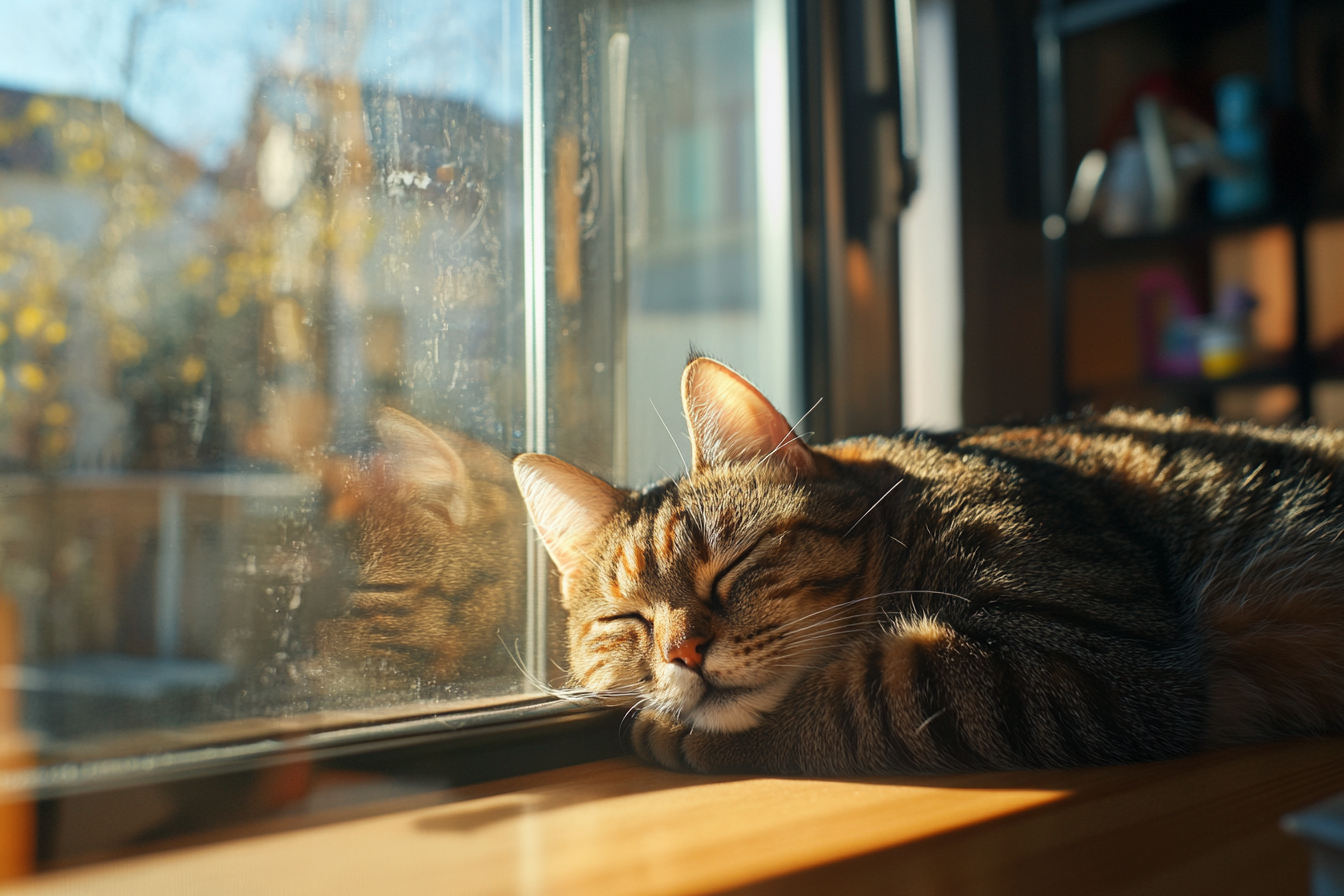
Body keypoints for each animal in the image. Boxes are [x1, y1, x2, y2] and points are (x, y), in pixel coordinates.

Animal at [508, 357, 1344, 779]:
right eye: (627, 620)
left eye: (733, 566)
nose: (682, 651)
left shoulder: (1094, 651)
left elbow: (867, 694)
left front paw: (685, 734)